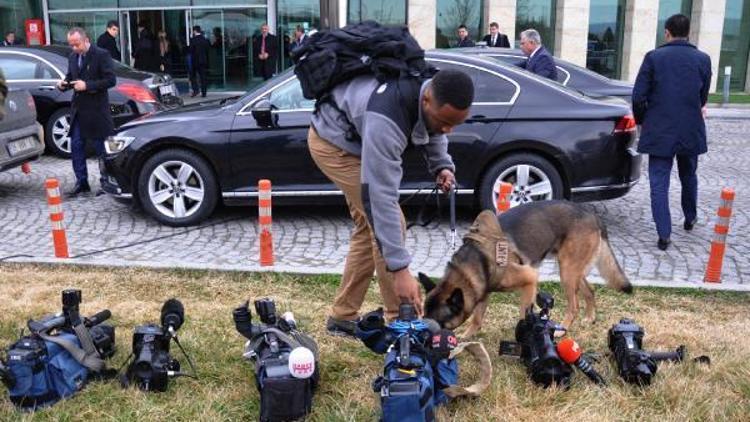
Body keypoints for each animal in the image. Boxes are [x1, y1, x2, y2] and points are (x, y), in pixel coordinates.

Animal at [424, 201, 636, 340]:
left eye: (437, 323)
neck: (477, 258)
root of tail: (593, 216)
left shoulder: (529, 279)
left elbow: (524, 315)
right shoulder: (483, 290)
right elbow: (477, 318)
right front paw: (467, 336)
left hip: (567, 272)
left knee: (574, 306)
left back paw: (562, 329)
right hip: (572, 270)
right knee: (590, 291)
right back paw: (590, 317)